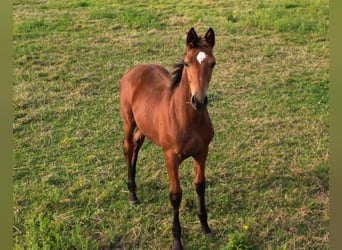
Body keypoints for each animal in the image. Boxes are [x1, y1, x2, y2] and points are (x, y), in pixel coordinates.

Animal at [120, 26, 215, 249]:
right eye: (187, 63)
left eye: (213, 63)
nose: (199, 101)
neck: (188, 118)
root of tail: (135, 69)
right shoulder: (170, 157)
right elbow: (175, 195)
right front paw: (177, 240)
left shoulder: (202, 152)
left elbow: (200, 185)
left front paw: (205, 227)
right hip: (128, 121)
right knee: (127, 147)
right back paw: (132, 193)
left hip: (144, 126)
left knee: (136, 144)